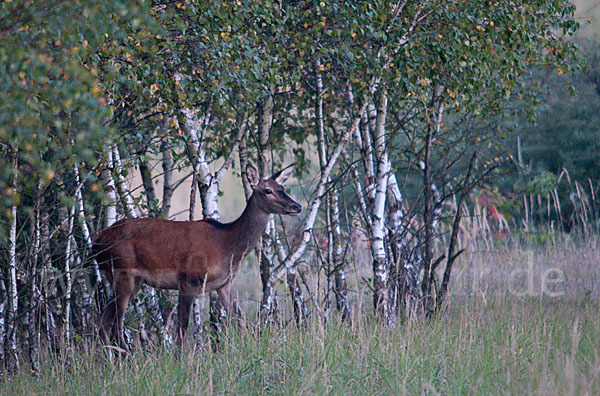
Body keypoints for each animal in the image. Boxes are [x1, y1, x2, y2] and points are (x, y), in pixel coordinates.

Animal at [92, 162, 300, 348]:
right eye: (267, 190)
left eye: (282, 187)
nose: (296, 206)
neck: (227, 245)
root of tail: (96, 243)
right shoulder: (188, 279)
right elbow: (182, 328)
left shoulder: (224, 284)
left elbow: (237, 321)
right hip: (122, 272)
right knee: (116, 325)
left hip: (132, 280)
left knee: (103, 321)